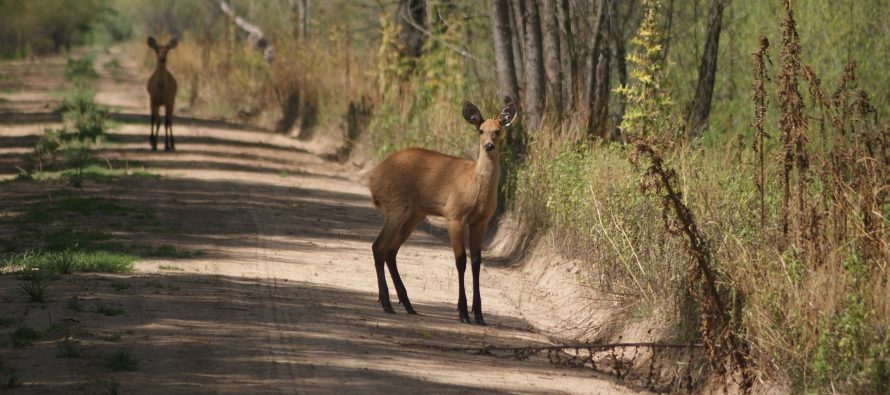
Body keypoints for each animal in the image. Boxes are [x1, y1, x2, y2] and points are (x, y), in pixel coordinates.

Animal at [370, 98, 520, 324]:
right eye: (480, 130)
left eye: (498, 130)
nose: (489, 146)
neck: (475, 186)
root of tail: (374, 174)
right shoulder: (454, 215)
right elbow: (460, 261)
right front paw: (463, 312)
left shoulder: (480, 221)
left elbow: (476, 262)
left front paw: (479, 315)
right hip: (397, 206)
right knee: (378, 246)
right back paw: (387, 304)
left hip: (415, 213)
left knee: (390, 250)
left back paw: (408, 305)